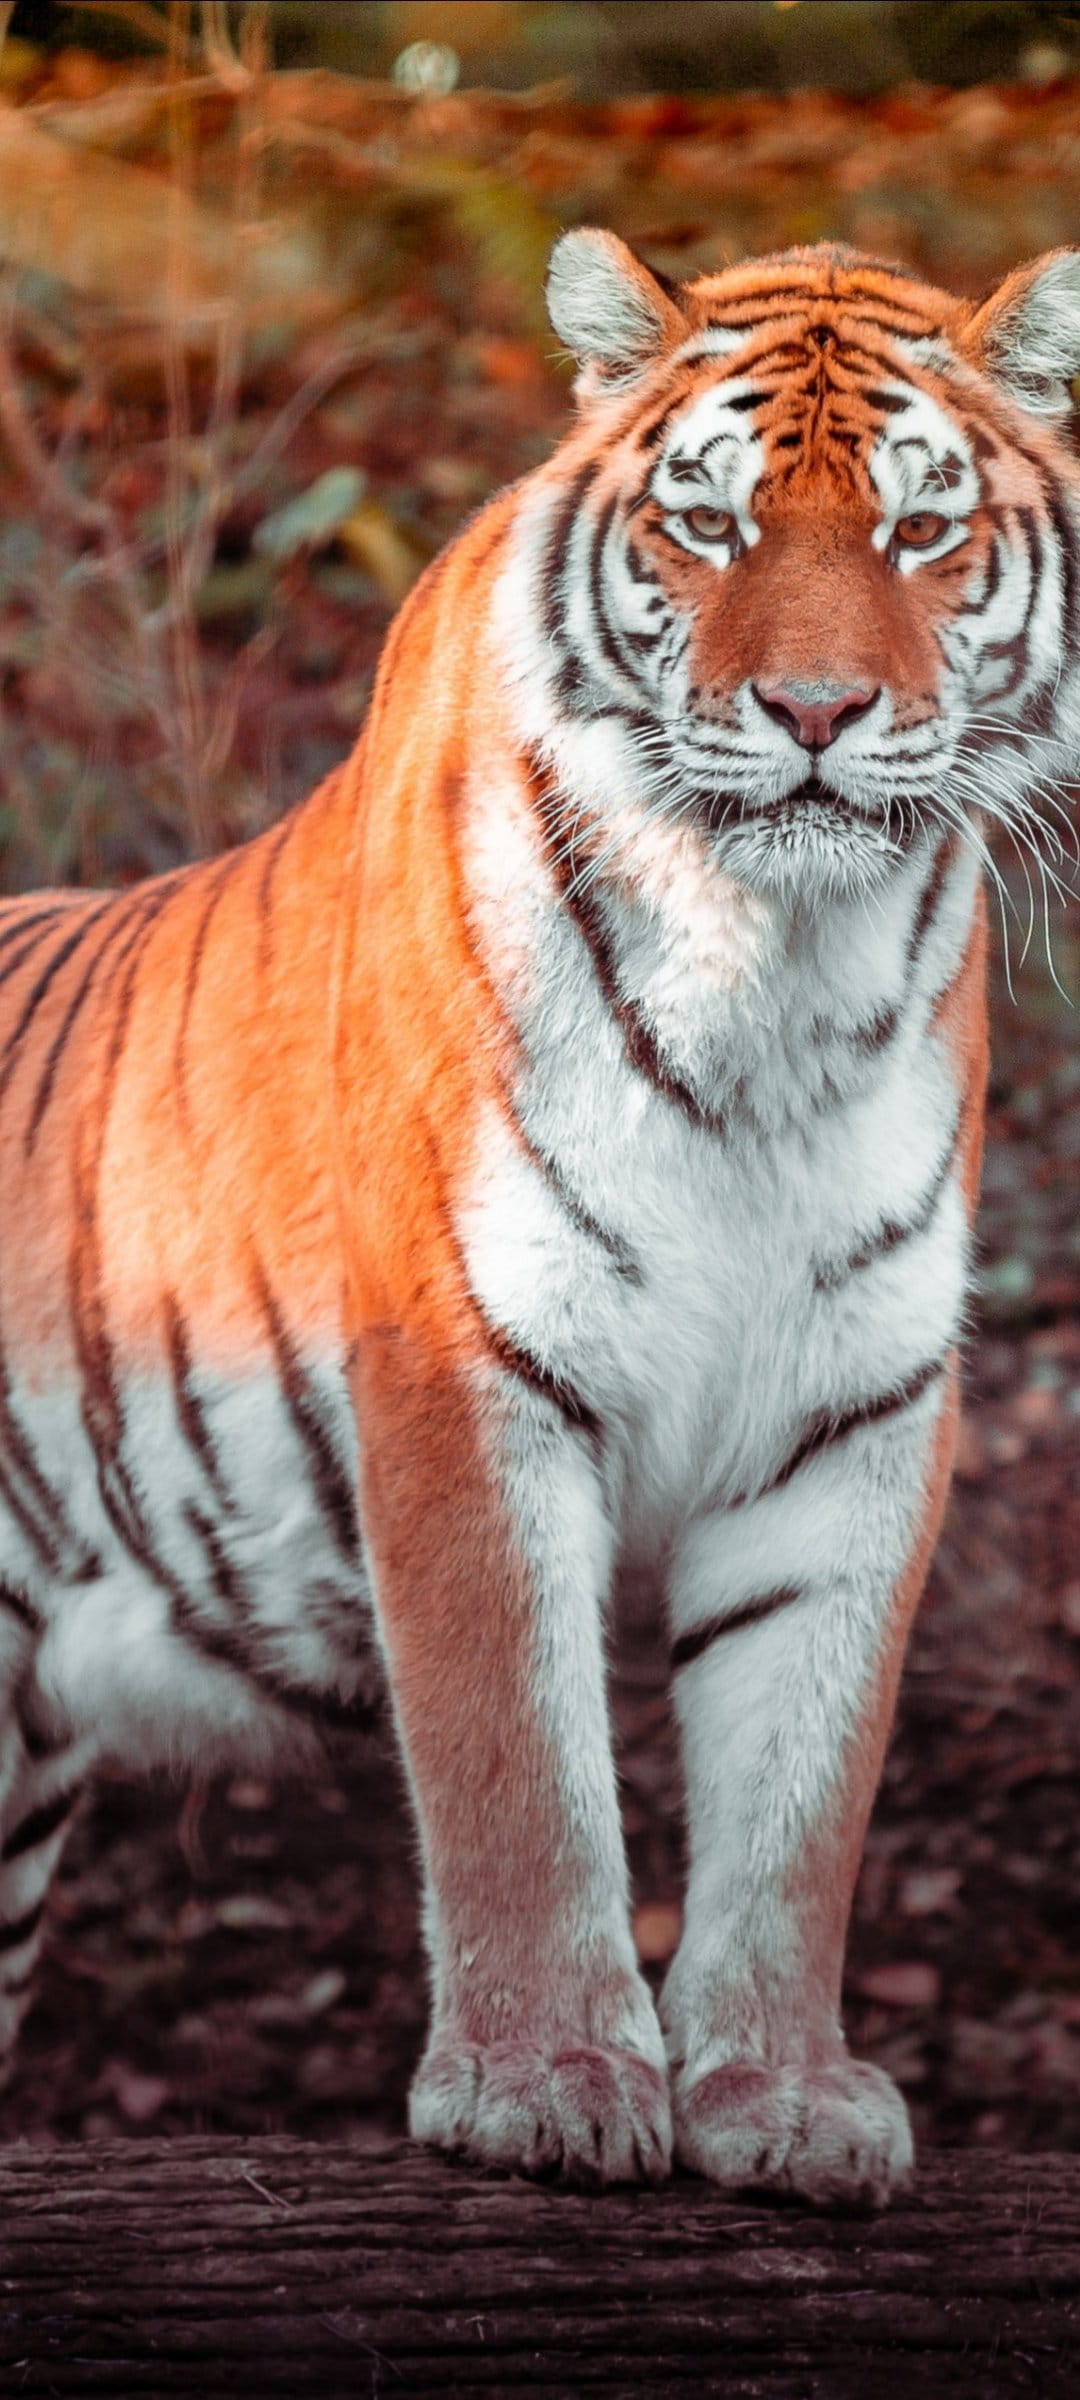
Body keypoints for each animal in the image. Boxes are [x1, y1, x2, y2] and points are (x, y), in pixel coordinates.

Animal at [0, 231, 1074, 2206]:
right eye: (711, 524)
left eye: (917, 530)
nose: (818, 717)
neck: (777, 980)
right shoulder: (463, 1364)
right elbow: (518, 1768)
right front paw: (548, 2083)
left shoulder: (858, 1413)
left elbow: (805, 1795)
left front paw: (784, 2097)